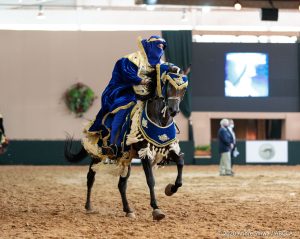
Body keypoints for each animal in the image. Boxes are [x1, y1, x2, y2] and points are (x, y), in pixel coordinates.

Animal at [65, 63, 188, 220]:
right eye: (169, 85)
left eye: (183, 89)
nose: (174, 110)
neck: (159, 120)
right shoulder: (144, 153)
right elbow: (150, 180)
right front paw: (156, 209)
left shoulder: (167, 150)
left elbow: (180, 162)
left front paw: (171, 189)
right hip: (97, 155)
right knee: (90, 178)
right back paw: (88, 207)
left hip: (126, 158)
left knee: (121, 184)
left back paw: (128, 210)